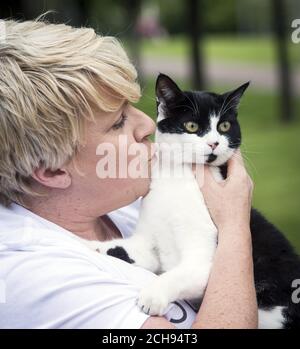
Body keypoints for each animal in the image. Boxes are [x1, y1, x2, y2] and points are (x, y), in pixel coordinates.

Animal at [82, 74, 300, 328]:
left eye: (224, 126)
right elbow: (128, 249)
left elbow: (178, 274)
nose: (214, 143)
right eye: (192, 126)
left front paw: (153, 295)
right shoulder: (148, 242)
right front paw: (89, 246)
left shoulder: (203, 260)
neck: (177, 178)